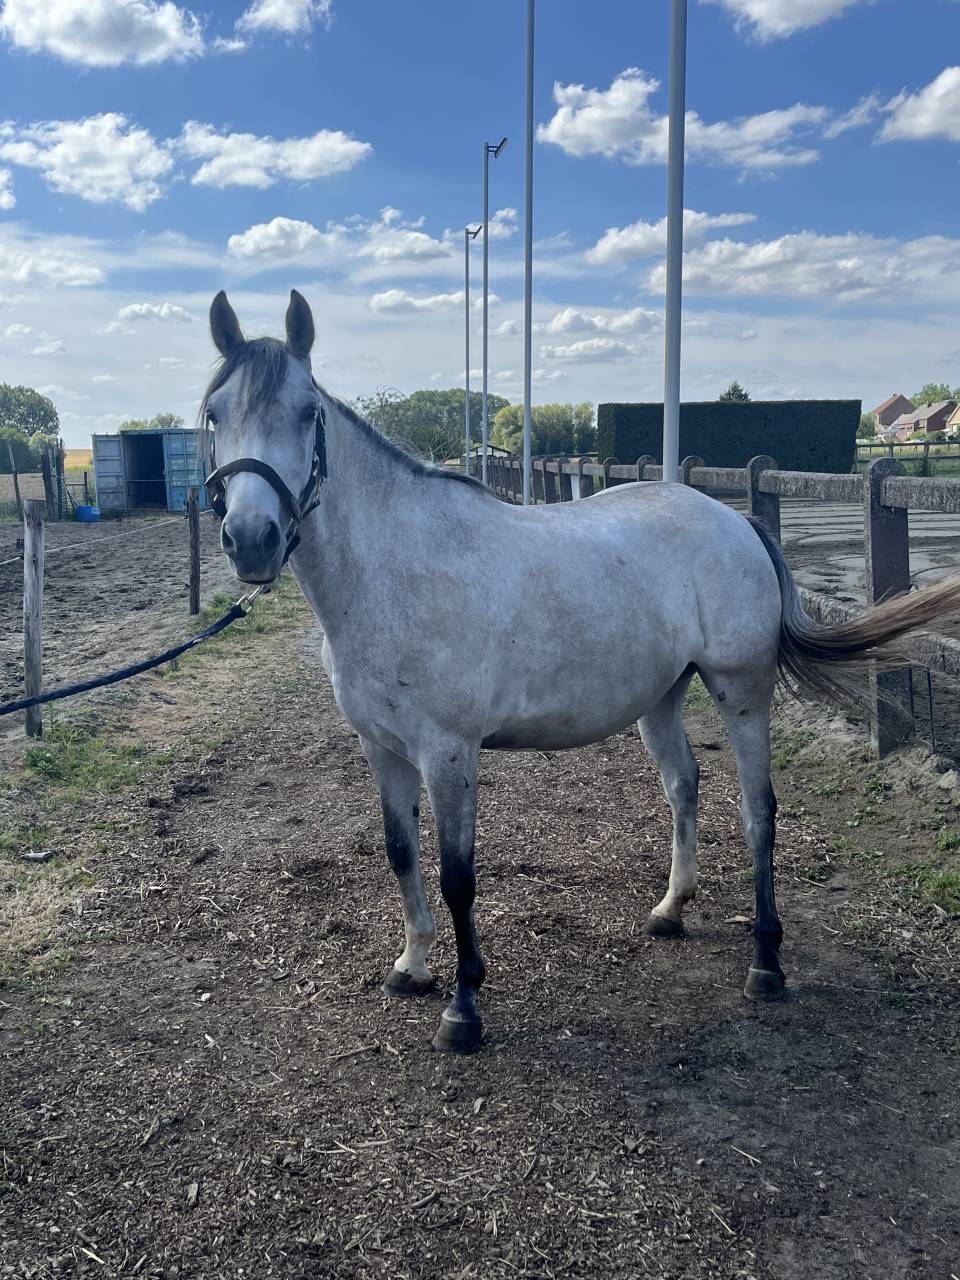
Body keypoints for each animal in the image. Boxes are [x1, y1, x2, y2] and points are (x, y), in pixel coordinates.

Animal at [201, 288, 960, 1053]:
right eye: (214, 414)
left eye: (307, 412)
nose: (251, 540)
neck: (395, 572)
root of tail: (736, 522)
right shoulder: (380, 748)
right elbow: (401, 853)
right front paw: (412, 967)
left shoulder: (448, 752)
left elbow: (456, 877)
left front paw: (463, 1009)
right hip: (661, 697)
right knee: (684, 786)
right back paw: (670, 910)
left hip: (741, 690)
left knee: (758, 812)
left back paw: (766, 964)